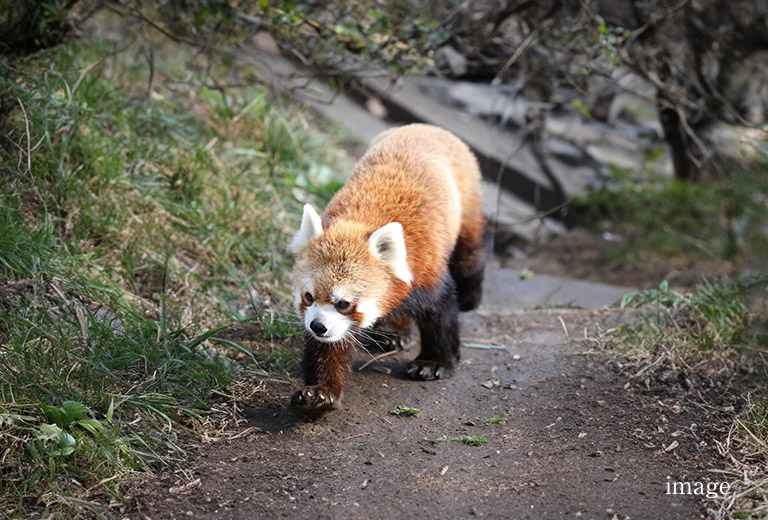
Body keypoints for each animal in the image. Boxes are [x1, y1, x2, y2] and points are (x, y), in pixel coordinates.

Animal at [288, 122, 486, 414]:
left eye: (343, 303)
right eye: (308, 297)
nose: (317, 326)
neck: (363, 220)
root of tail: (428, 127)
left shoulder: (427, 268)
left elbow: (441, 314)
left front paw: (434, 363)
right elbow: (331, 347)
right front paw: (320, 394)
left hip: (467, 201)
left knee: (470, 257)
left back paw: (471, 296)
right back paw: (393, 332)